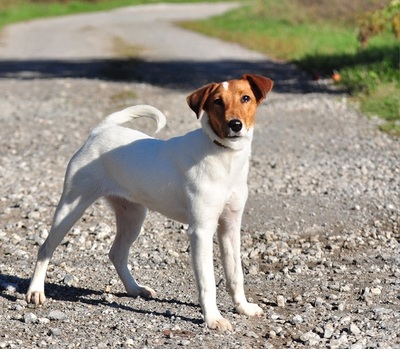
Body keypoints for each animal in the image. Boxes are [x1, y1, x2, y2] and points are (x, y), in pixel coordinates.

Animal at [26, 72, 274, 328]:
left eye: (246, 98)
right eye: (217, 101)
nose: (235, 125)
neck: (225, 156)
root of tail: (99, 131)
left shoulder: (230, 226)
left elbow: (235, 274)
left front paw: (243, 307)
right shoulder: (201, 230)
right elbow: (207, 281)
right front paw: (213, 318)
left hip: (133, 216)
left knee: (117, 253)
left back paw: (135, 289)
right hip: (70, 208)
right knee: (46, 247)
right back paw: (35, 291)